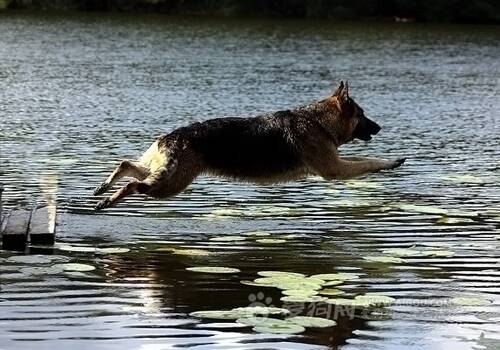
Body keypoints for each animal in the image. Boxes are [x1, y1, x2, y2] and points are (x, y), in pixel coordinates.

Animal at [94, 80, 406, 209]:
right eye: (362, 115)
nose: (380, 127)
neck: (318, 121)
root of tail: (170, 137)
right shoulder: (336, 170)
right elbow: (368, 162)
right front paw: (391, 162)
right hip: (170, 185)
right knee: (133, 184)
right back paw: (108, 200)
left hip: (167, 176)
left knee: (127, 164)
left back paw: (103, 188)